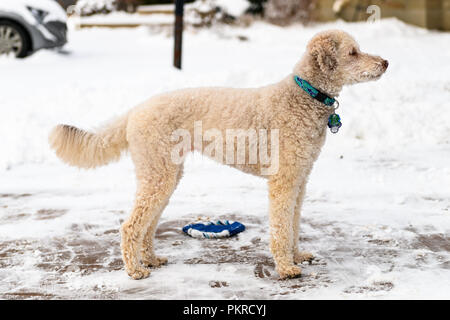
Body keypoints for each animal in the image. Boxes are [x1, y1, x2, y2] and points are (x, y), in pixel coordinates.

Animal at [48, 30, 386, 280]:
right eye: (352, 52)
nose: (385, 62)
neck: (304, 96)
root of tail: (135, 111)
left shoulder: (299, 181)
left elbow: (293, 225)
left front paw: (297, 255)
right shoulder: (283, 182)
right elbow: (280, 227)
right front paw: (286, 267)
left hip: (165, 175)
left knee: (147, 225)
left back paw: (151, 259)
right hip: (158, 174)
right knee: (131, 226)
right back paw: (134, 270)